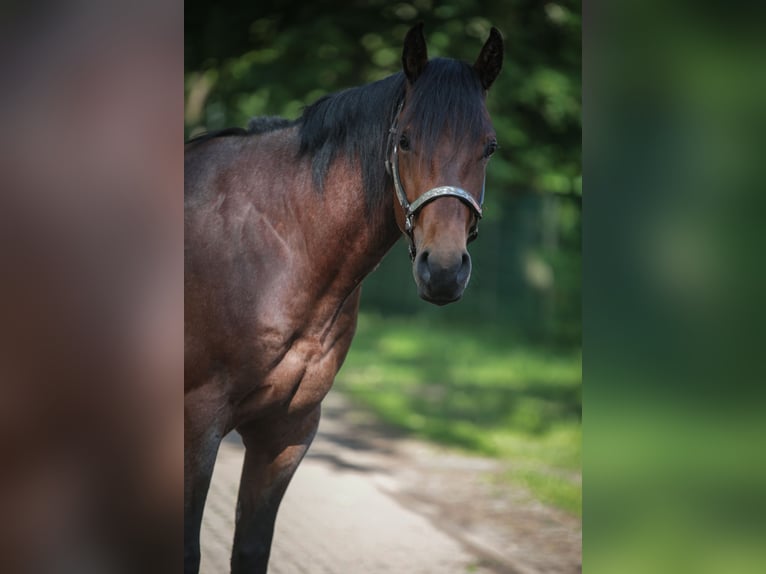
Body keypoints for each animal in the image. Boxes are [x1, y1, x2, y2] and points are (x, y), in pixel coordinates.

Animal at [184, 23, 503, 573]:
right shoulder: (194, 431)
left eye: (488, 147)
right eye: (404, 140)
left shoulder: (286, 432)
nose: (443, 270)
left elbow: (251, 547)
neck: (278, 244)